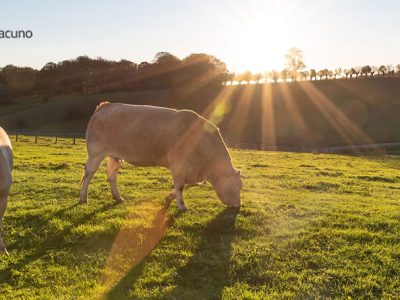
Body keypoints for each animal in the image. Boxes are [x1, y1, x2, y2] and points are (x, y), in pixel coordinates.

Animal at [78, 102, 241, 210]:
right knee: (88, 174)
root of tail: (105, 106)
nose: (238, 206)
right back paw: (83, 198)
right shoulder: (178, 164)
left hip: (115, 155)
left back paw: (118, 197)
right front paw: (182, 206)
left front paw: (169, 198)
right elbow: (180, 186)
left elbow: (186, 184)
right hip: (95, 153)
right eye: (237, 186)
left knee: (111, 173)